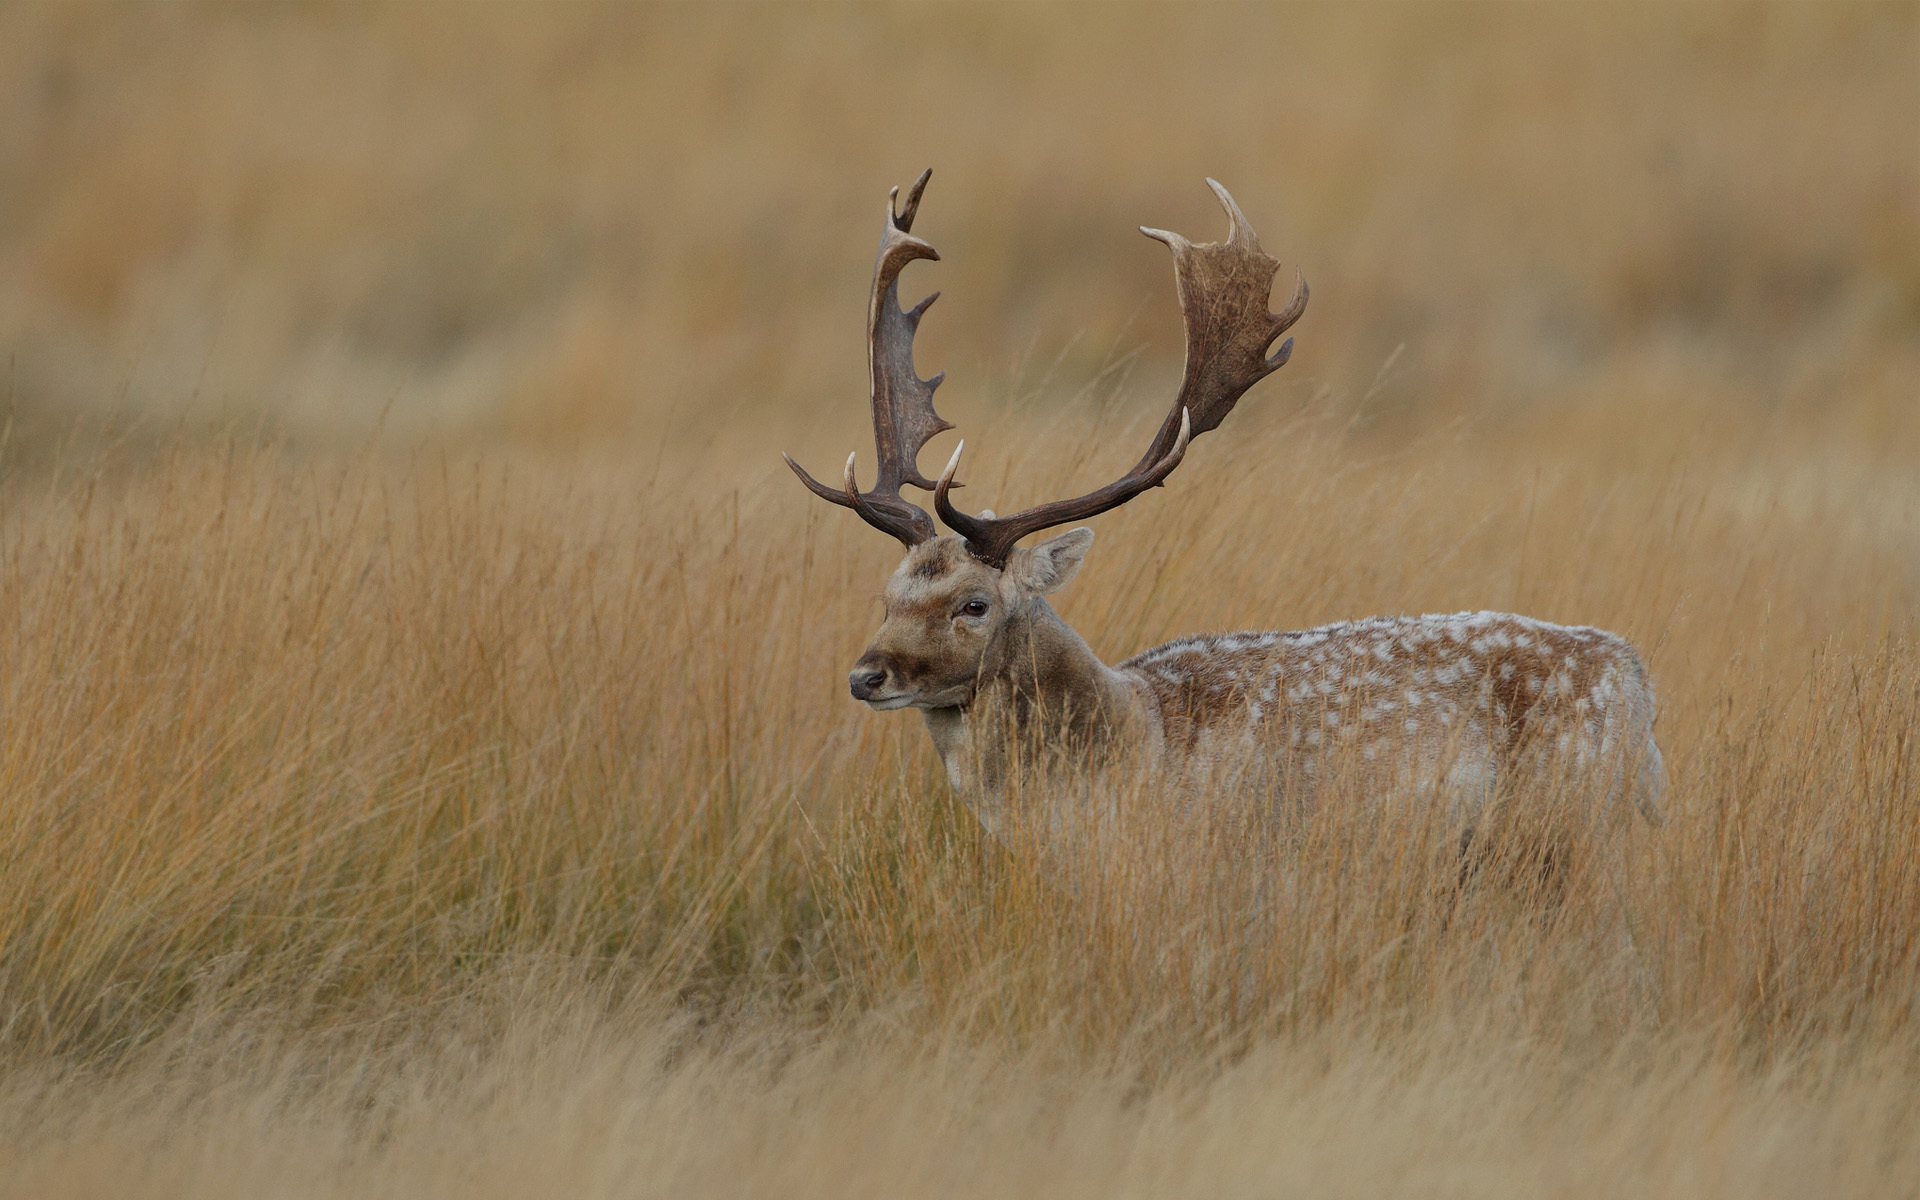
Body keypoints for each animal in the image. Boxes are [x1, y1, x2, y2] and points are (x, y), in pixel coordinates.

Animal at [783, 170, 1666, 860]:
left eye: (974, 604)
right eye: (888, 594)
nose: (865, 675)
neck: (1128, 750)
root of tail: (1636, 679)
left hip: (1571, 823)